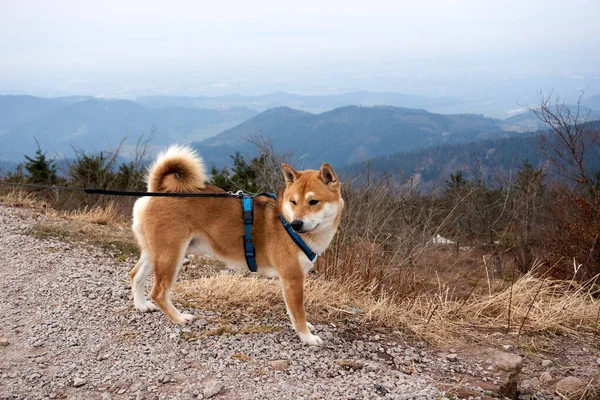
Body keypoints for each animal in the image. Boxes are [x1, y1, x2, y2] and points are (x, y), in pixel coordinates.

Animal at [129, 145, 344, 346]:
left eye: (313, 201)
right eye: (293, 202)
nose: (296, 224)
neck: (285, 220)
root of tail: (157, 191)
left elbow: (295, 313)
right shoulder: (292, 279)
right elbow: (298, 314)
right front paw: (308, 338)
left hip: (155, 253)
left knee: (135, 275)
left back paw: (141, 305)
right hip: (171, 257)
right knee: (158, 292)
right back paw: (179, 317)